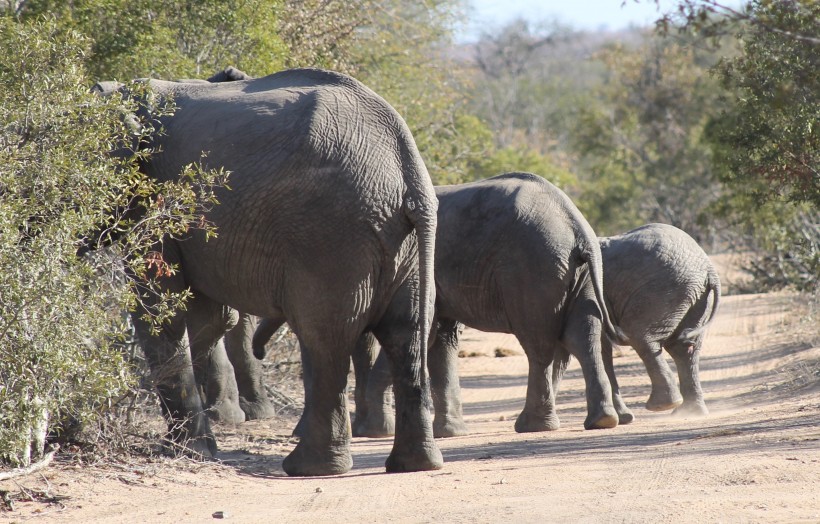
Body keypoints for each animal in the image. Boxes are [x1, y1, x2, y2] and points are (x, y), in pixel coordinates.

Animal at [556, 222, 720, 422]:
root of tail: (709, 269)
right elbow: (601, 347)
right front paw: (623, 418)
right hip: (696, 298)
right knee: (683, 348)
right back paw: (689, 412)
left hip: (661, 290)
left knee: (641, 336)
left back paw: (662, 405)